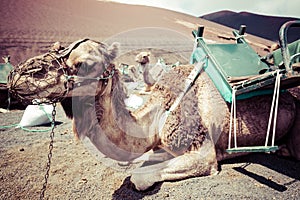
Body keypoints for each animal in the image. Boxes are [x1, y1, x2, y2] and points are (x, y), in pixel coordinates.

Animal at [7, 38, 300, 191]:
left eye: (84, 64)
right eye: (58, 46)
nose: (20, 75)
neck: (158, 113)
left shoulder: (202, 150)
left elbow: (139, 178)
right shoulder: (159, 145)